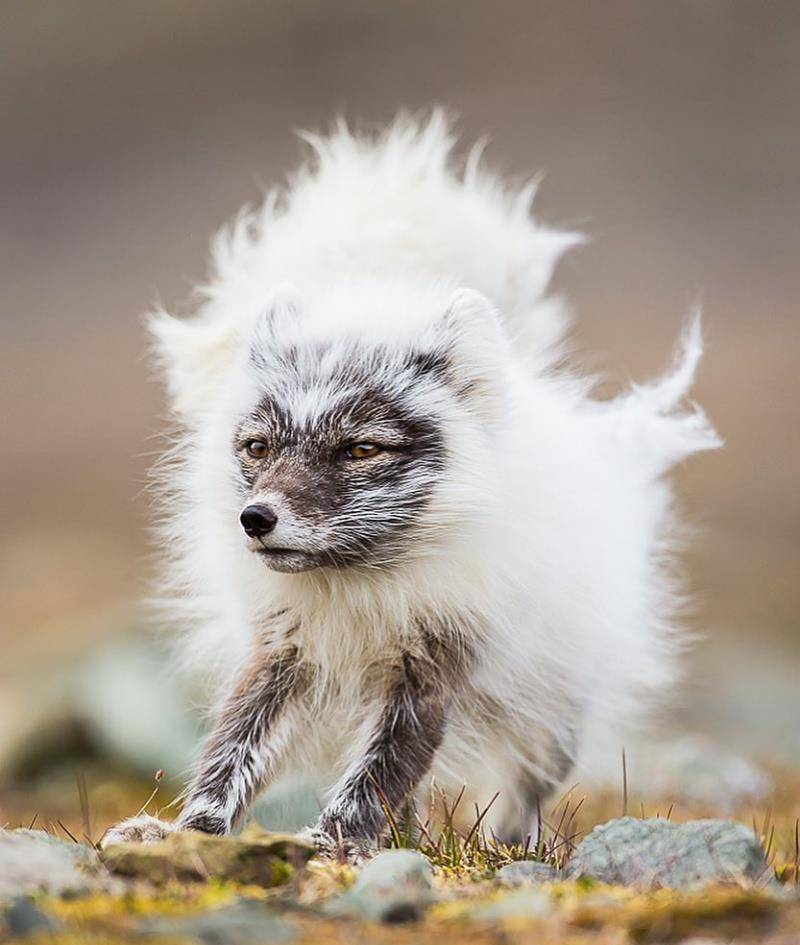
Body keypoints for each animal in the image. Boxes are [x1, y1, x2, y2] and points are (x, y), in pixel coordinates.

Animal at [100, 112, 720, 856]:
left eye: (362, 448)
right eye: (258, 447)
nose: (255, 518)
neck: (359, 589)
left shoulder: (431, 670)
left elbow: (377, 772)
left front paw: (331, 846)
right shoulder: (284, 654)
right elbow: (231, 753)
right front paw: (189, 833)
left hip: (551, 707)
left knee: (526, 781)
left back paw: (510, 845)